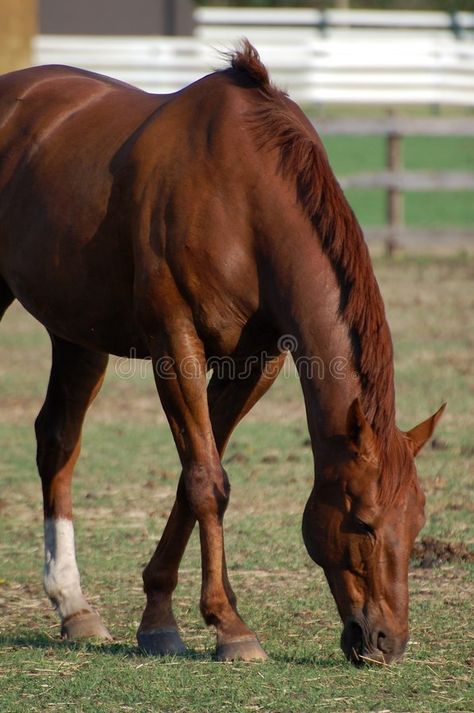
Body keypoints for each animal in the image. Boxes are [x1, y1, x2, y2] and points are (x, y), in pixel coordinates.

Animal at [0, 41, 444, 664]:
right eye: (362, 521)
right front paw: (229, 627)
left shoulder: (254, 364)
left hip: (77, 336)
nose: (388, 640)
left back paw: (74, 606)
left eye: (419, 519)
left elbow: (195, 478)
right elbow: (207, 482)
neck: (241, 199)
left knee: (58, 442)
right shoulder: (175, 344)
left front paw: (159, 616)